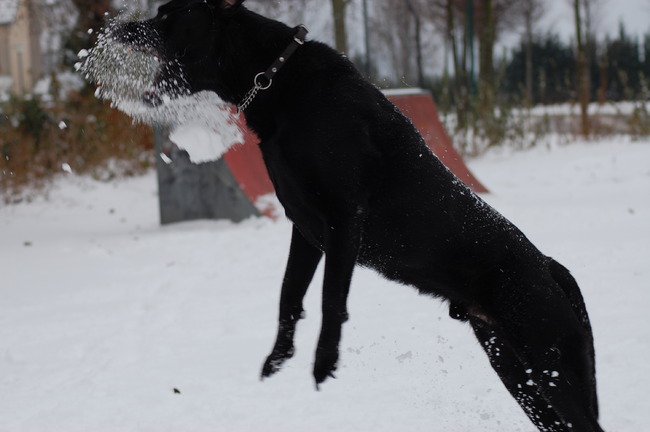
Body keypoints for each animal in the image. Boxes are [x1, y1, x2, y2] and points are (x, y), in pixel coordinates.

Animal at [112, 1, 604, 430]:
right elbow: (289, 296)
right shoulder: (305, 230)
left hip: (550, 365)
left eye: (168, 14)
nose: (119, 30)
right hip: (516, 373)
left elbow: (332, 298)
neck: (278, 77)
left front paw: (324, 363)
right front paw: (278, 358)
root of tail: (551, 268)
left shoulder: (343, 218)